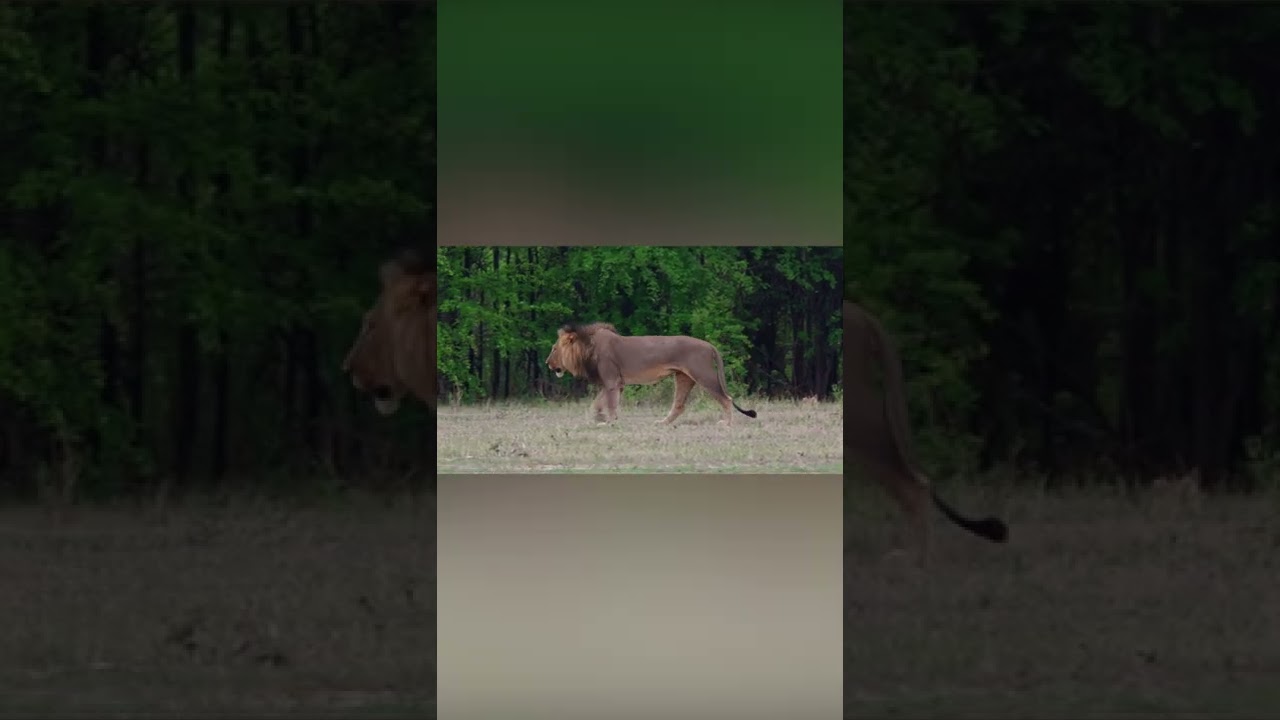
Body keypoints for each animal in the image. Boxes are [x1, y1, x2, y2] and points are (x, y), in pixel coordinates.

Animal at [545, 322, 758, 425]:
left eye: (554, 349)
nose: (547, 363)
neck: (588, 347)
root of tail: (709, 345)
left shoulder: (612, 381)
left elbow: (609, 403)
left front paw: (610, 422)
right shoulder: (616, 383)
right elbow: (598, 402)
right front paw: (599, 418)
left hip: (703, 374)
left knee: (726, 399)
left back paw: (726, 423)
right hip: (683, 377)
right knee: (679, 406)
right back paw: (662, 423)